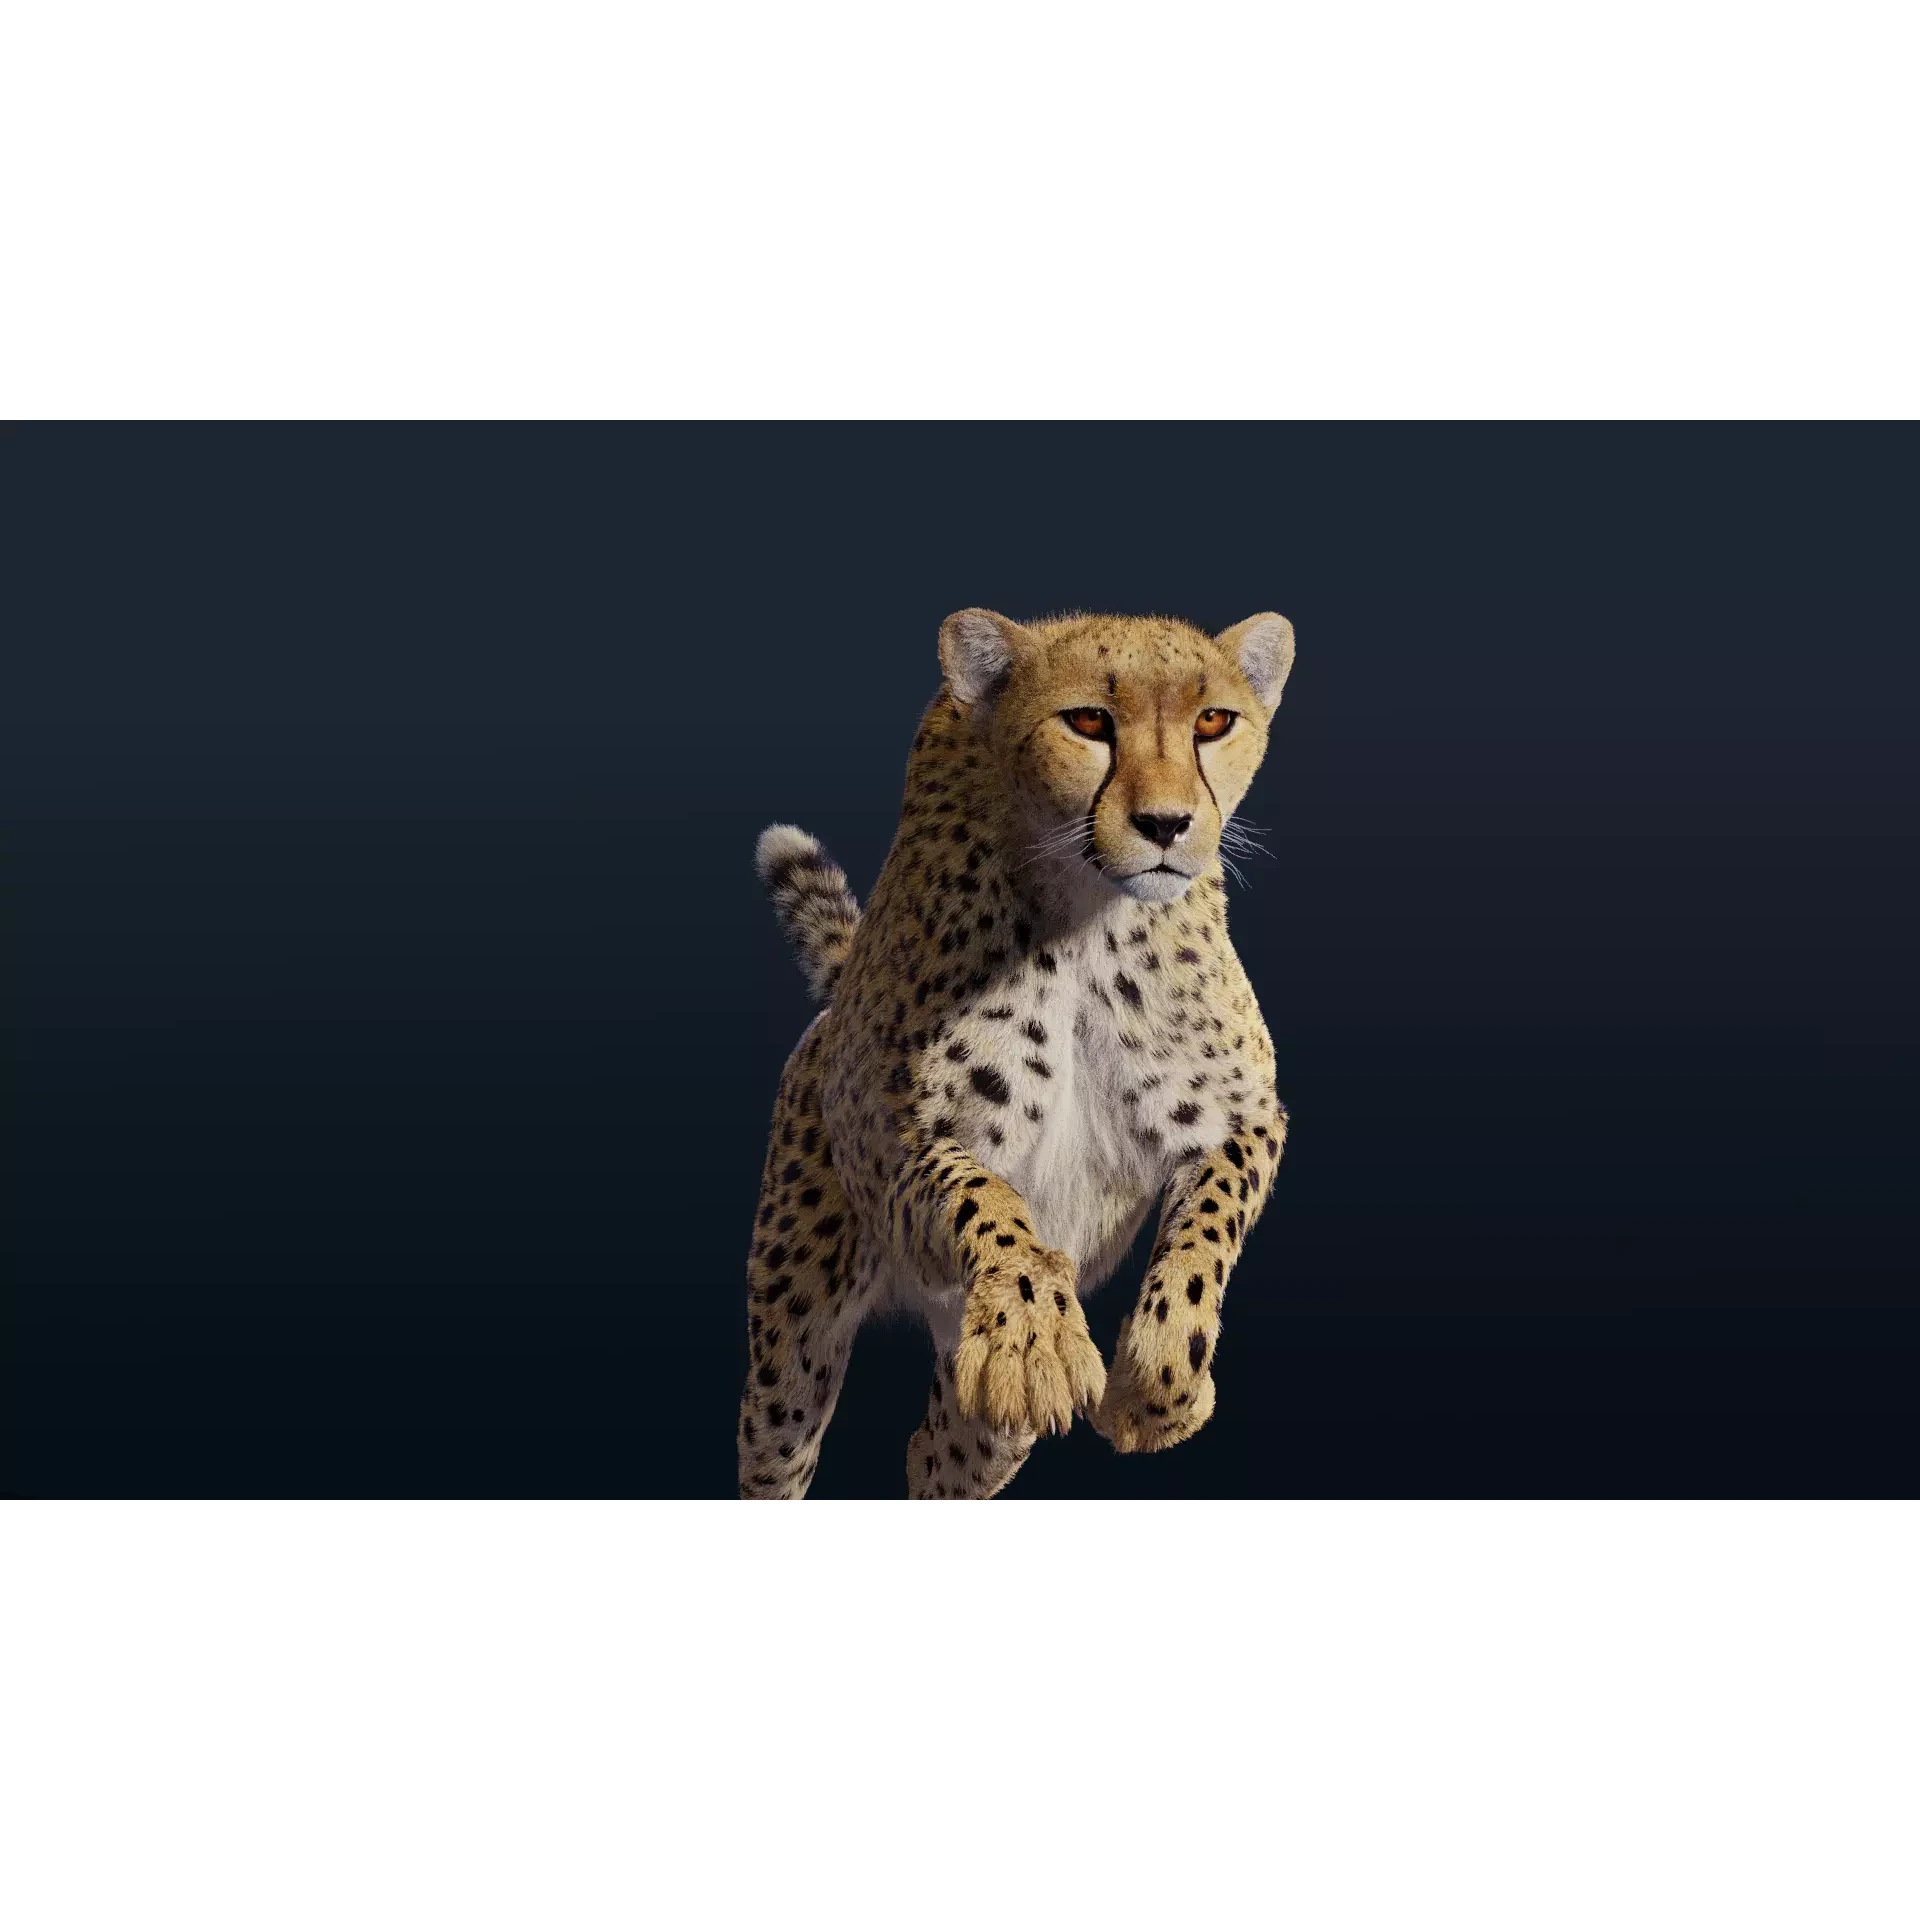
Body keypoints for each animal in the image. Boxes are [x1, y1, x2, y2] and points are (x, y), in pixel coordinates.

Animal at [737, 606, 1295, 1498]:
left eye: (1214, 721)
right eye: (1089, 722)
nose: (1167, 824)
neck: (1091, 919)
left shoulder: (1248, 1120)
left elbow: (1209, 1226)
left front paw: (1159, 1384)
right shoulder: (899, 1149)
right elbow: (987, 1196)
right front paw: (1035, 1333)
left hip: (978, 1423)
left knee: (934, 1452)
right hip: (794, 1333)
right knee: (778, 1446)